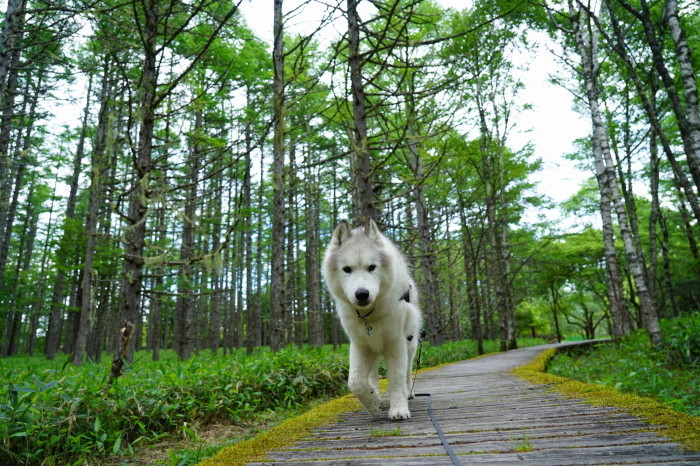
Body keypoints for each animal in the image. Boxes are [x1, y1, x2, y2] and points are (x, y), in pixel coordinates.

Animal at [322, 220, 422, 420]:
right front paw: (373, 404)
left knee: (407, 372)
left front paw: (399, 408)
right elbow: (355, 382)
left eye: (371, 267)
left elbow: (397, 378)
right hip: (373, 350)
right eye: (347, 269)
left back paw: (408, 392)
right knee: (372, 375)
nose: (362, 294)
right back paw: (375, 393)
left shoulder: (395, 343)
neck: (368, 315)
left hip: (410, 344)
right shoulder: (359, 345)